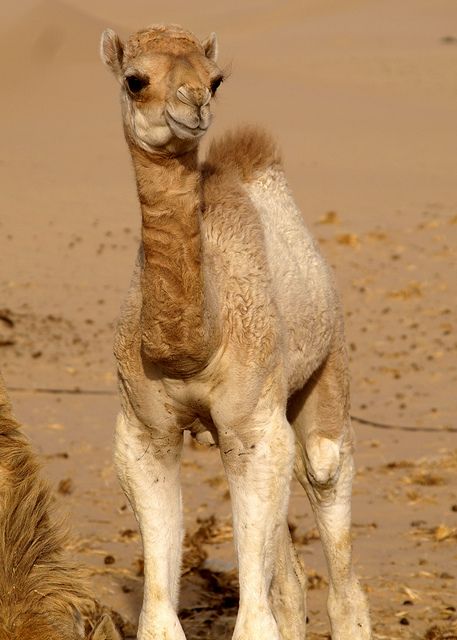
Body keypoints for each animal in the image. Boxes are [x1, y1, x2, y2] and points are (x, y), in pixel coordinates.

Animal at [100, 22, 370, 640]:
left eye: (216, 78)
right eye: (135, 79)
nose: (195, 102)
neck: (194, 346)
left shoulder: (252, 423)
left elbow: (255, 617)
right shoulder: (144, 432)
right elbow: (160, 614)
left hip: (326, 366)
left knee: (324, 480)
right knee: (288, 580)